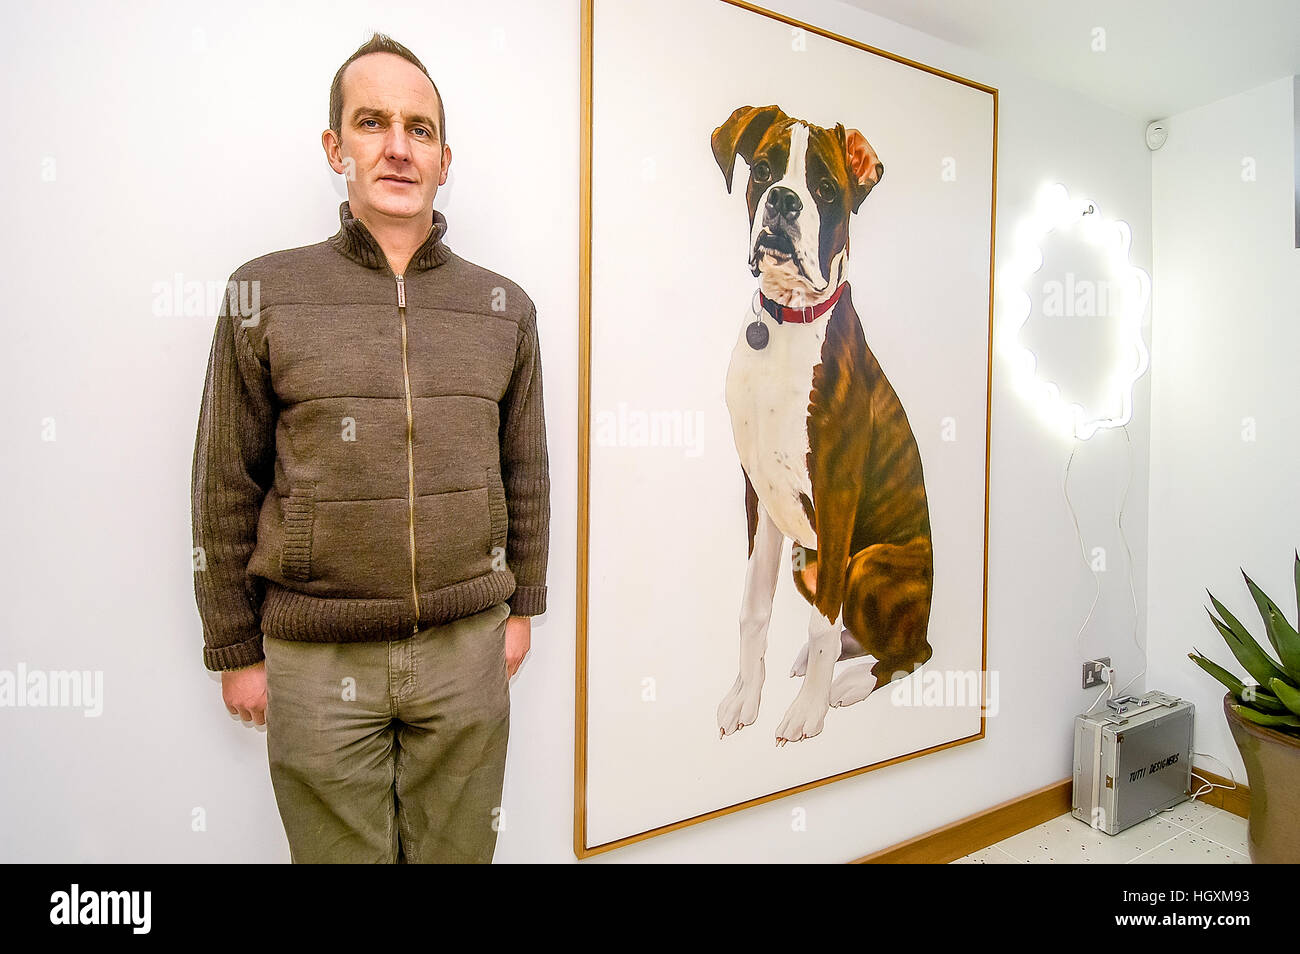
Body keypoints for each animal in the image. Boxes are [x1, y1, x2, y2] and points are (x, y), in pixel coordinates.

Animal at [712, 104, 935, 748]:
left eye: (826, 189)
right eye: (763, 169)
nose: (784, 201)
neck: (786, 321)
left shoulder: (836, 496)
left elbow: (821, 626)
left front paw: (805, 712)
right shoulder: (759, 495)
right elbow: (753, 608)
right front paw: (745, 698)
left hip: (867, 562)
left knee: (911, 651)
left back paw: (847, 683)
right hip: (803, 558)